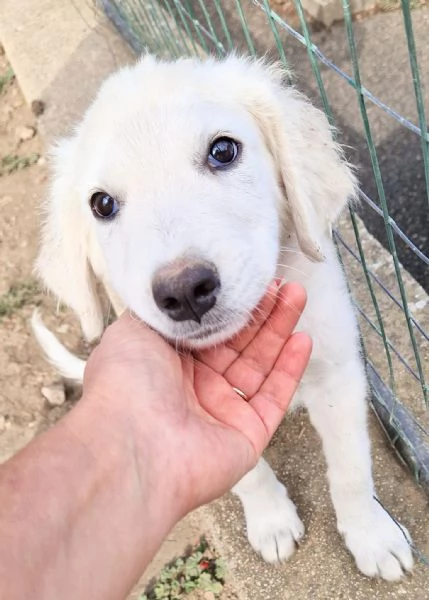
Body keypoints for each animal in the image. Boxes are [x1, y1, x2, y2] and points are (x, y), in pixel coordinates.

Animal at [32, 55, 412, 580]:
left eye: (223, 151)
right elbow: (247, 473)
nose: (183, 291)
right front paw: (271, 520)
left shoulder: (338, 370)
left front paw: (373, 536)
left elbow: (352, 470)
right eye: (102, 204)